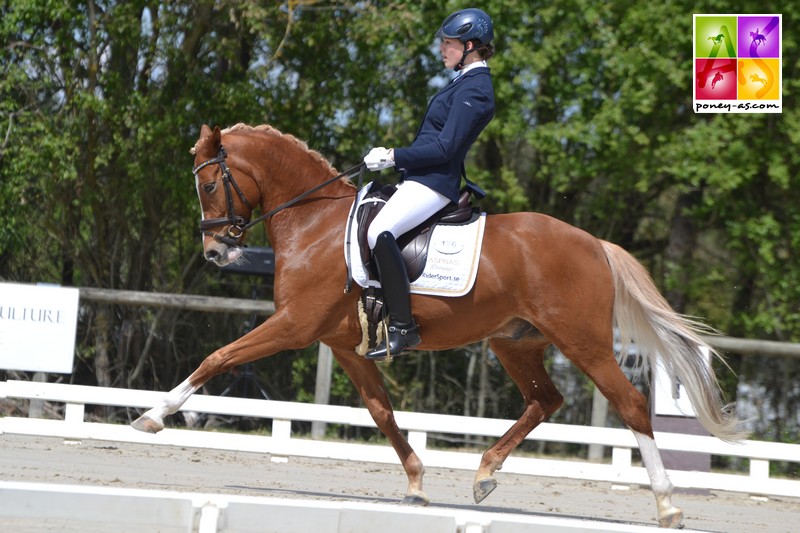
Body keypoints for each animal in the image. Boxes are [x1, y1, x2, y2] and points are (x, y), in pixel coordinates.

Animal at [133, 123, 744, 528]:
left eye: (209, 185)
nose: (215, 252)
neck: (314, 222)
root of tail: (594, 243)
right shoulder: (345, 345)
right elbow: (382, 413)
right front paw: (417, 484)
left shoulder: (293, 325)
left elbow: (219, 356)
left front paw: (153, 416)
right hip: (514, 342)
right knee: (545, 400)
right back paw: (484, 474)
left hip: (584, 342)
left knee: (631, 405)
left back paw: (668, 503)